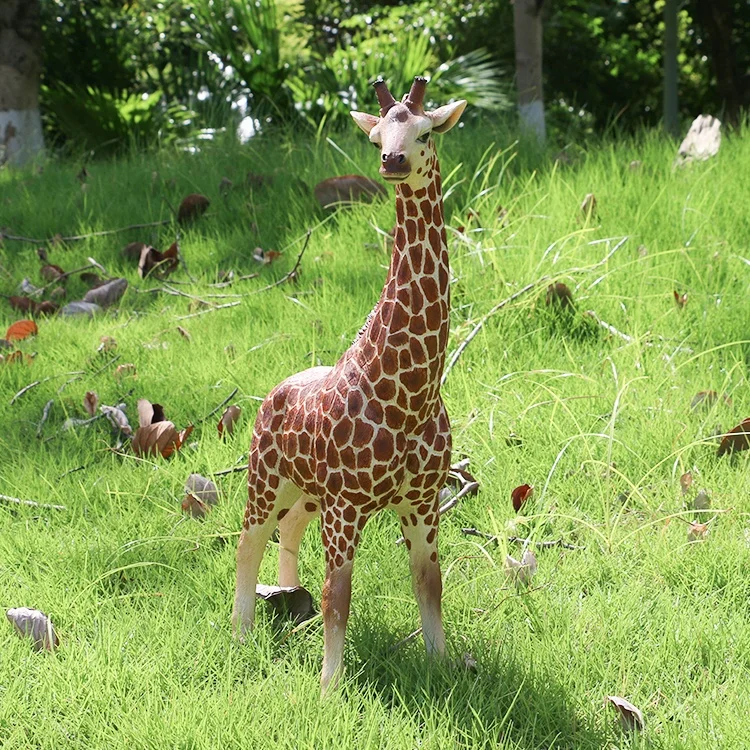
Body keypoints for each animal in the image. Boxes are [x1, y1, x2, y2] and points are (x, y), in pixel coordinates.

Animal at [232, 76, 466, 692]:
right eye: (376, 137)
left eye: (426, 132)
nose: (394, 162)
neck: (411, 392)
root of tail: (272, 393)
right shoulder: (348, 506)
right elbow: (339, 597)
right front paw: (329, 691)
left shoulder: (421, 501)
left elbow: (430, 583)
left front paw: (441, 666)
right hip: (266, 478)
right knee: (248, 542)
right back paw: (242, 634)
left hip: (308, 494)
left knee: (288, 531)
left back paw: (288, 600)